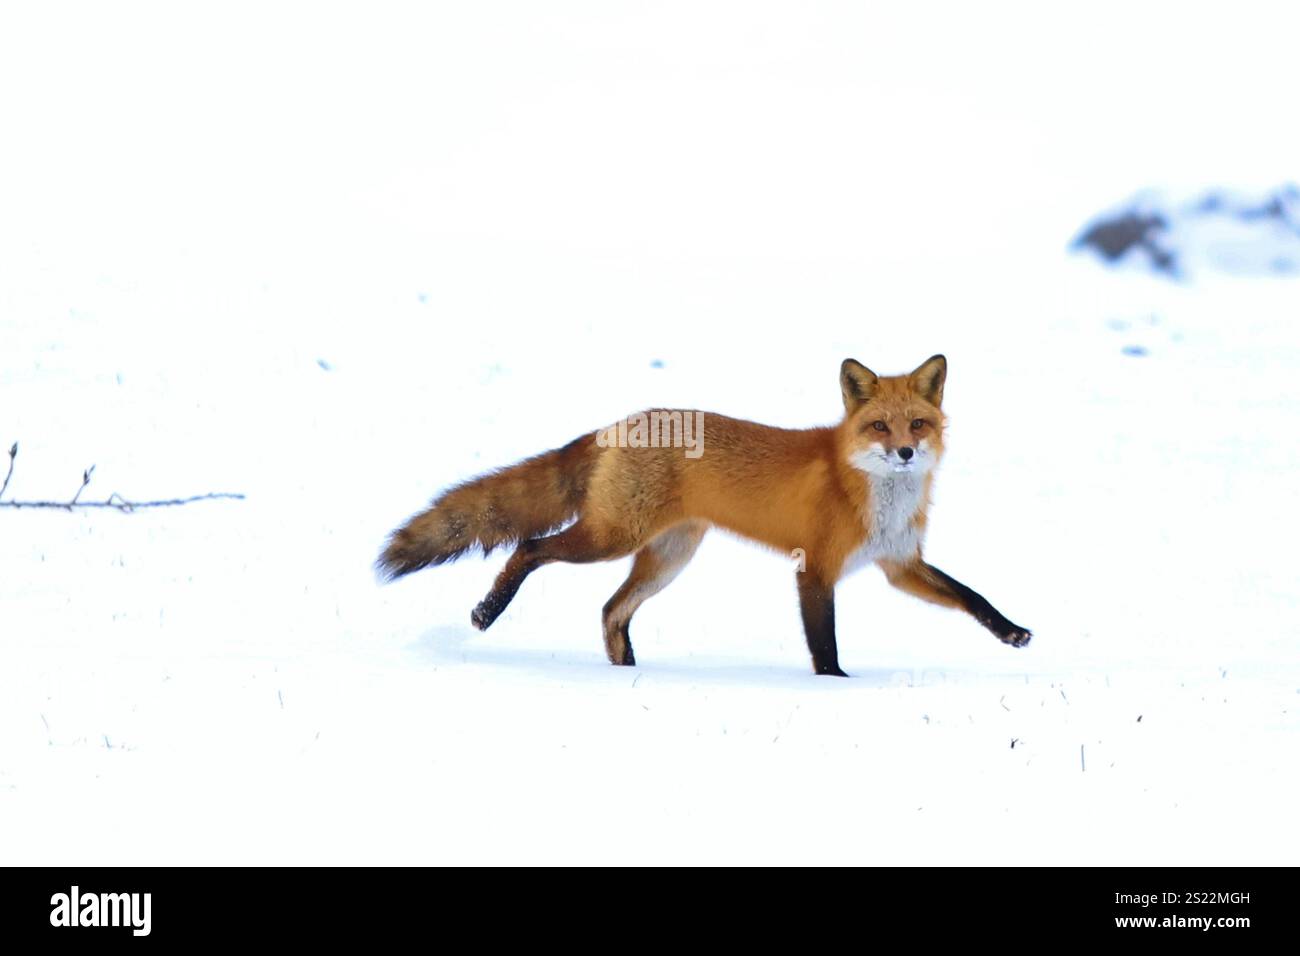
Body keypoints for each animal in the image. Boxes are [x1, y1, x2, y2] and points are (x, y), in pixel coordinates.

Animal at [374, 356, 1024, 676]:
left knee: (611, 611)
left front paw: (1013, 632)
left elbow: (971, 596)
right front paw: (835, 690)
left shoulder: (898, 564)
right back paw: (489, 611)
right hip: (612, 538)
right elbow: (826, 646)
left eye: (916, 423)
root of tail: (621, 422)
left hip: (667, 558)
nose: (907, 452)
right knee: (530, 548)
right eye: (879, 427)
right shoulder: (815, 570)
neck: (871, 490)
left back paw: (625, 679)